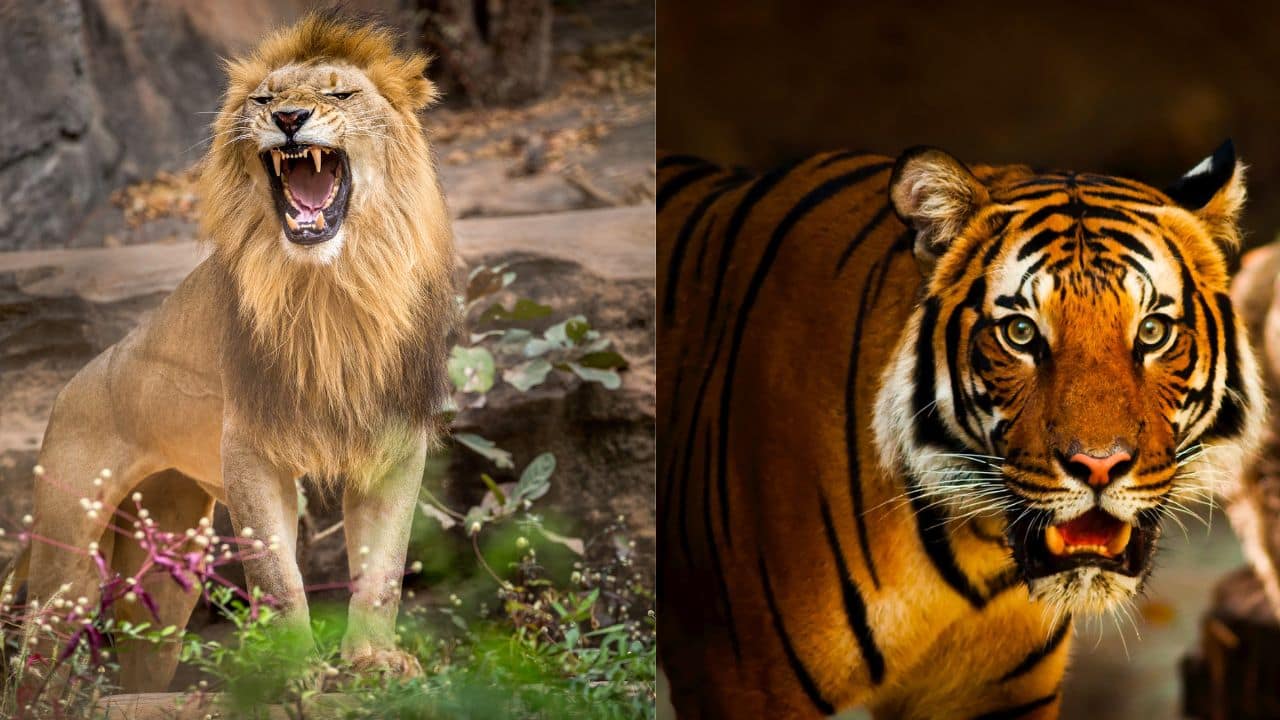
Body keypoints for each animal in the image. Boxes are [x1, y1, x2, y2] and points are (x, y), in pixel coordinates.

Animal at [11, 13, 458, 691]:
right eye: (264, 100)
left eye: (342, 93)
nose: (291, 118)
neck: (333, 287)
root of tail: (71, 386)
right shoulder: (250, 445)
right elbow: (278, 577)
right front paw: (295, 669)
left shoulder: (395, 440)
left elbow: (383, 569)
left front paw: (374, 661)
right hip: (69, 566)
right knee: (35, 661)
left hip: (166, 576)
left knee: (143, 664)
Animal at [657, 142, 1265, 719]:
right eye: (1020, 332)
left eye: (1153, 331)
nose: (1099, 466)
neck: (974, 548)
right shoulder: (745, 686)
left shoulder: (995, 695)